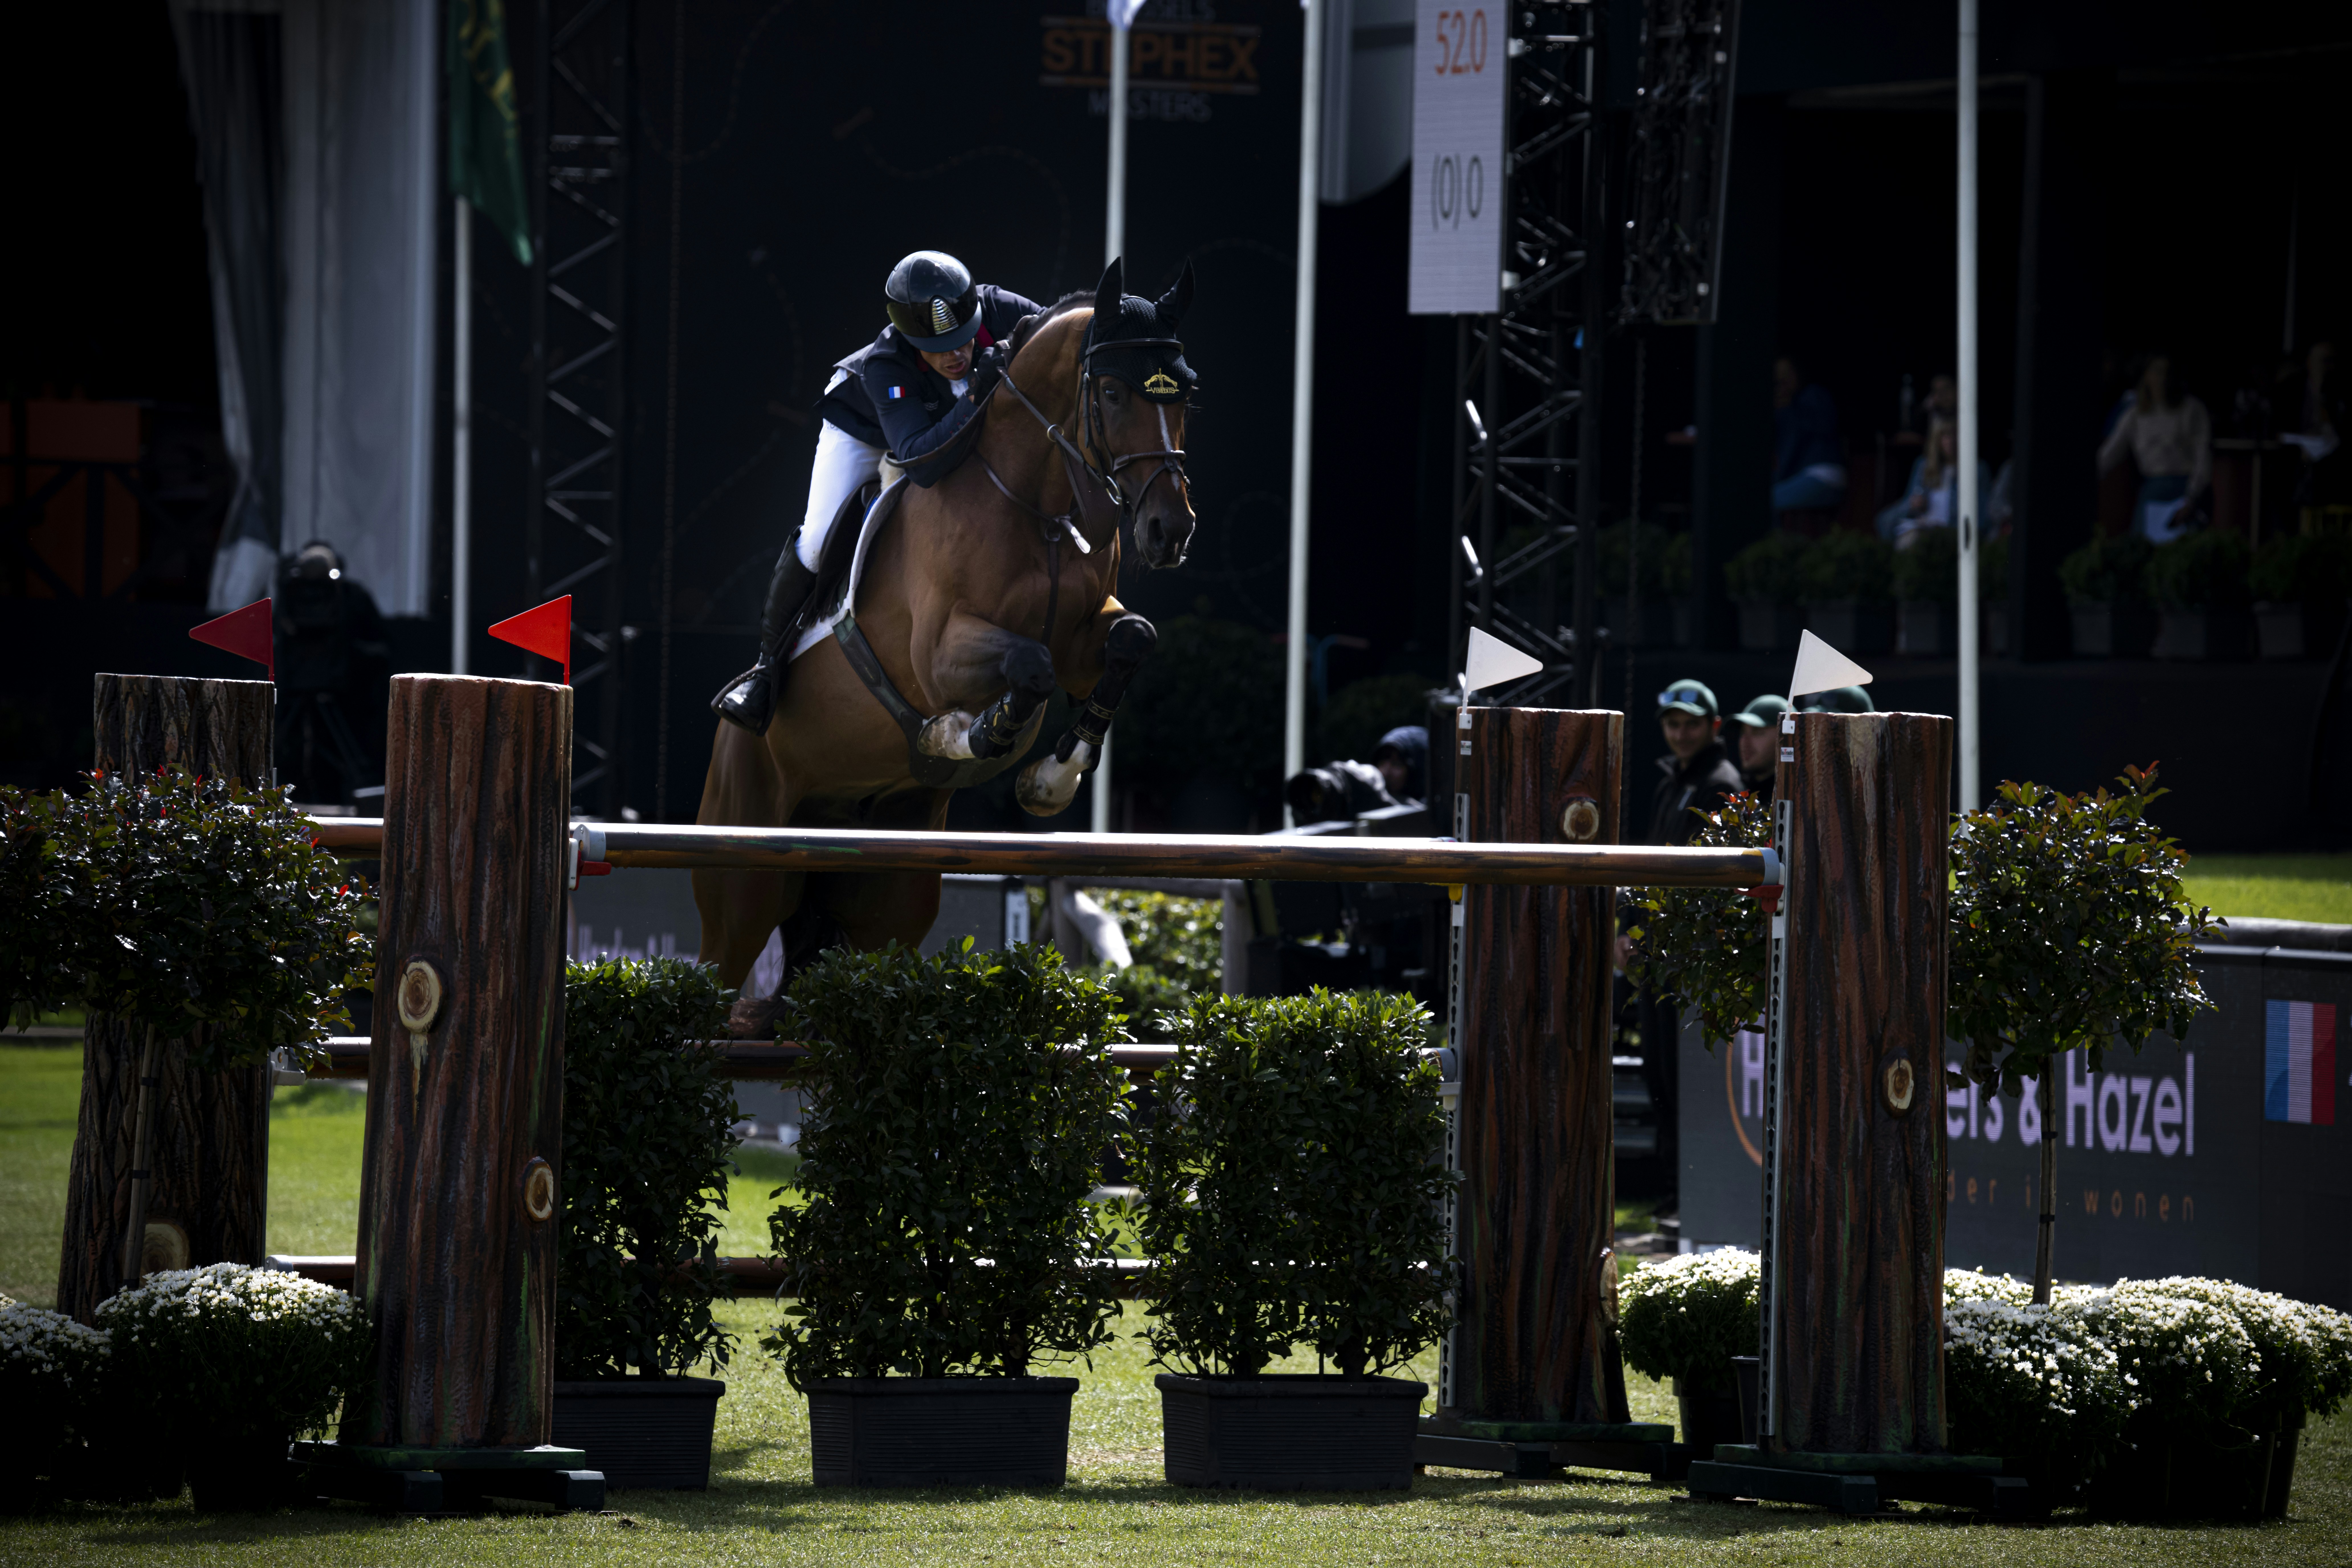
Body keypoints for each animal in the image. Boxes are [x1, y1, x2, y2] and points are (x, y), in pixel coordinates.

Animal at [692, 259, 1197, 1016]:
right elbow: (1029, 666)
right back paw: (754, 695)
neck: (1034, 502)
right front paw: (967, 735)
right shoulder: (938, 657)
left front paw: (1052, 777)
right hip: (742, 881)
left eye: (1184, 392)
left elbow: (1130, 639)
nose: (1170, 531)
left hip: (890, 897)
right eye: (1111, 391)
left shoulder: (1086, 639)